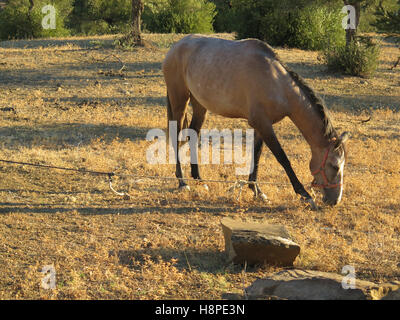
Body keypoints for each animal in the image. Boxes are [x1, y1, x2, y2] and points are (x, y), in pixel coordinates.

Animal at [161, 35, 348, 209]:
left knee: (193, 135)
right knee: (176, 137)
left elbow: (256, 155)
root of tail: (175, 47)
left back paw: (199, 180)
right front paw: (304, 194)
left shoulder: (262, 126)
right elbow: (282, 158)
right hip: (179, 100)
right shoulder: (263, 124)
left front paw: (256, 190)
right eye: (334, 166)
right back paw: (182, 182)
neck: (276, 83)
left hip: (199, 104)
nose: (335, 201)